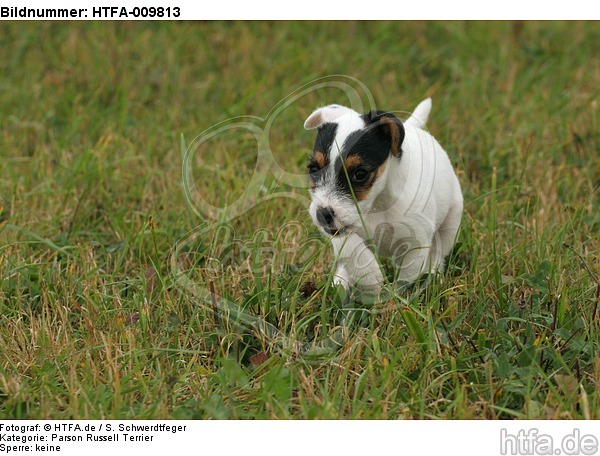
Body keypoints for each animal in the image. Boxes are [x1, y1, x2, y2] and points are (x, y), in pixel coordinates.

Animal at [304, 98, 464, 294]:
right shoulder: (340, 229)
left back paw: (434, 277)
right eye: (313, 169)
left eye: (360, 174)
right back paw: (340, 280)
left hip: (451, 221)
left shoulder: (415, 243)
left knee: (438, 253)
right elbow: (349, 244)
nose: (322, 214)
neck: (377, 205)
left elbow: (407, 277)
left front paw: (397, 296)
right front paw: (369, 275)